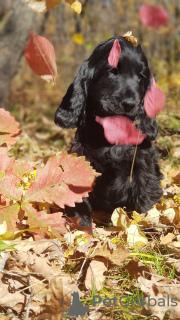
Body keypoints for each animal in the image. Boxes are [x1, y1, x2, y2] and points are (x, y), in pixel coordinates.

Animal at [54, 35, 162, 230]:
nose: (130, 104)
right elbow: (79, 203)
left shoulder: (143, 165)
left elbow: (146, 199)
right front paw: (83, 229)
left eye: (141, 76)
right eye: (113, 71)